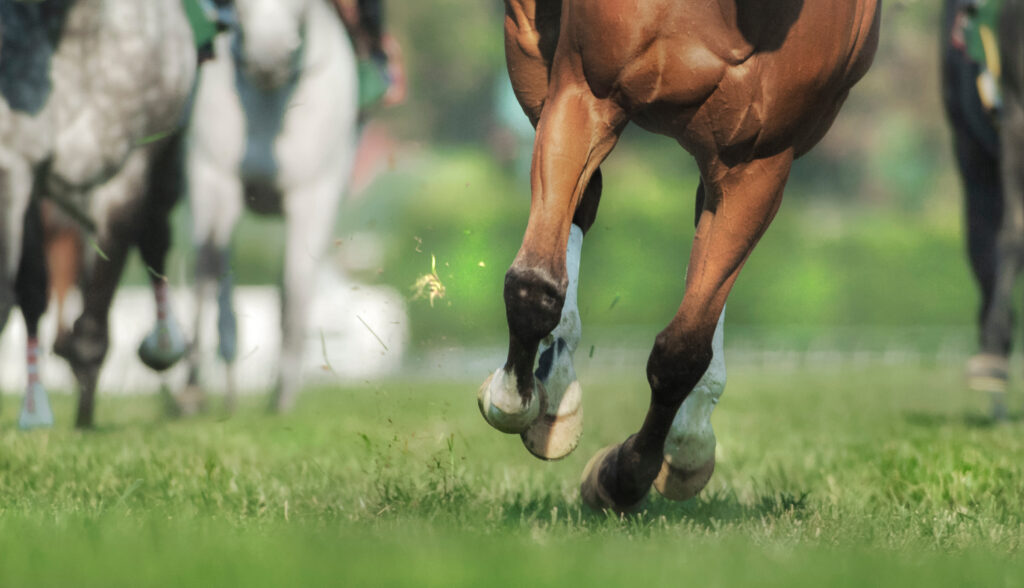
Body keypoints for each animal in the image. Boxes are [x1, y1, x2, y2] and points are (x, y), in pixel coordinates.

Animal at [0, 0, 196, 429]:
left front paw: (84, 418)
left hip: (166, 164)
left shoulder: (125, 175)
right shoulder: (16, 166)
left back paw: (163, 344)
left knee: (155, 236)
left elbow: (95, 316)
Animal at [183, 0, 359, 412]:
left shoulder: (314, 196)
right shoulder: (213, 179)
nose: (269, 54)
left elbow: (294, 288)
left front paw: (282, 397)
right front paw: (192, 389)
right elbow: (204, 275)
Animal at [478, 0, 881, 512]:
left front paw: (625, 473)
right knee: (583, 201)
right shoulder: (585, 90)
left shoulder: (759, 164)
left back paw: (686, 440)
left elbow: (683, 349)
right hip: (533, 53)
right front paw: (512, 398)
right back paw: (554, 394)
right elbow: (535, 285)